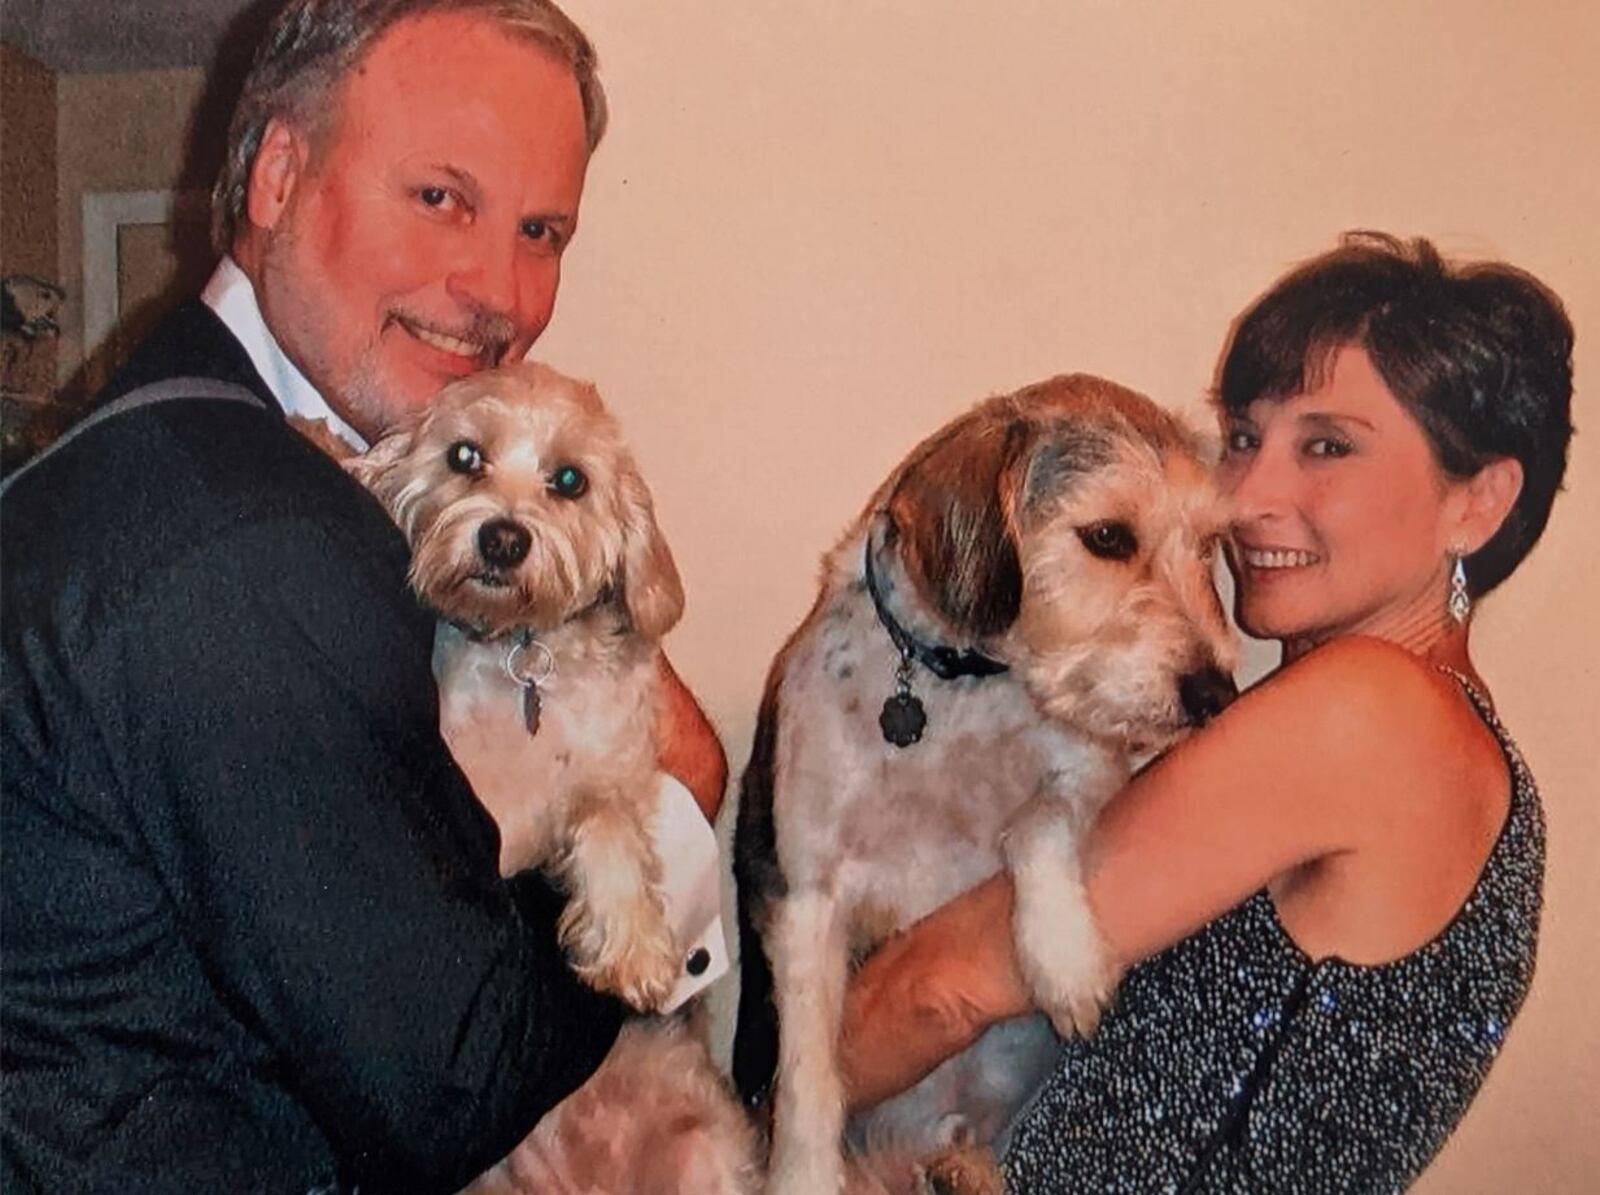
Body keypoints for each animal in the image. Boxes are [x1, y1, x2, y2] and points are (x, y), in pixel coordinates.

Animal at [732, 375, 1235, 1195]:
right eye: (1108, 537)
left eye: (1207, 546)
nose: (1217, 693)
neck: (951, 688)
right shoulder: (805, 891)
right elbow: (807, 1072)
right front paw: (802, 1175)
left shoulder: (1092, 773)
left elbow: (1033, 824)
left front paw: (1064, 956)